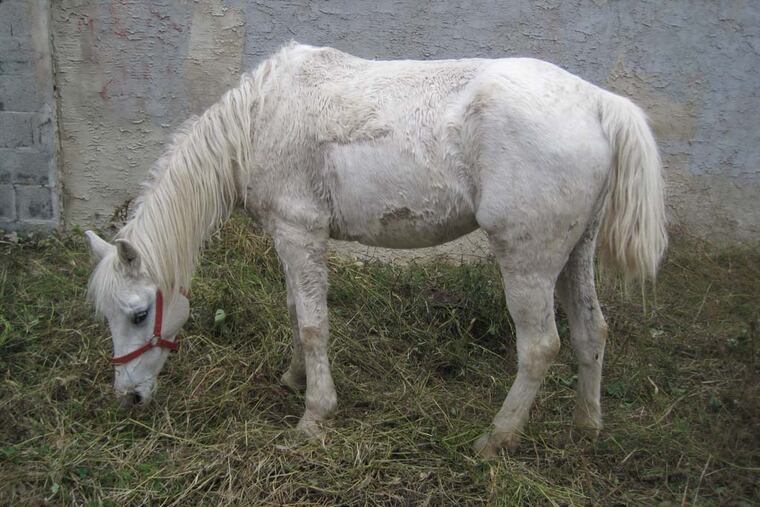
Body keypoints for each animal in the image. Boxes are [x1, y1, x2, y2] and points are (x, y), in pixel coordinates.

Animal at [85, 42, 666, 457]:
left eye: (139, 315)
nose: (128, 398)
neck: (257, 122)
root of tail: (598, 103)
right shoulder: (288, 239)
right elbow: (296, 310)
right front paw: (294, 378)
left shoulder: (300, 232)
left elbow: (313, 324)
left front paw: (314, 417)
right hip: (574, 254)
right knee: (591, 331)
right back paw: (585, 427)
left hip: (528, 261)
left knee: (541, 347)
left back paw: (496, 439)